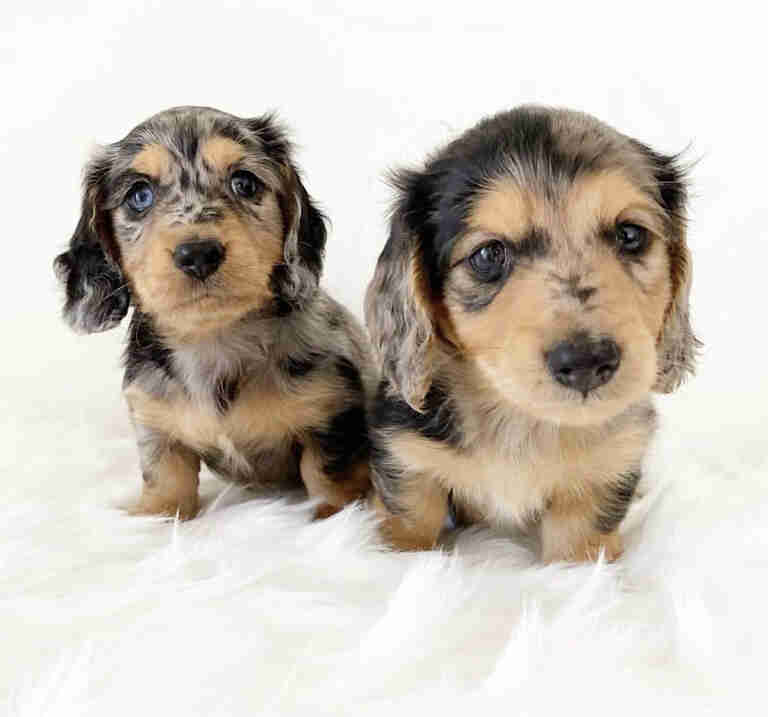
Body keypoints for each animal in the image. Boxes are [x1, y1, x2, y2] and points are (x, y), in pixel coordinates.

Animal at [54, 106, 376, 516]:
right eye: (139, 195)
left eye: (245, 183)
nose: (198, 254)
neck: (213, 340)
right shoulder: (156, 427)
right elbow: (164, 481)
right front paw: (151, 517)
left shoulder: (331, 415)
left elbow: (327, 480)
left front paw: (337, 517)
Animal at [364, 106, 696, 564]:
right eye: (488, 254)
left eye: (631, 235)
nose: (587, 362)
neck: (521, 422)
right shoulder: (407, 459)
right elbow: (406, 526)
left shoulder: (600, 479)